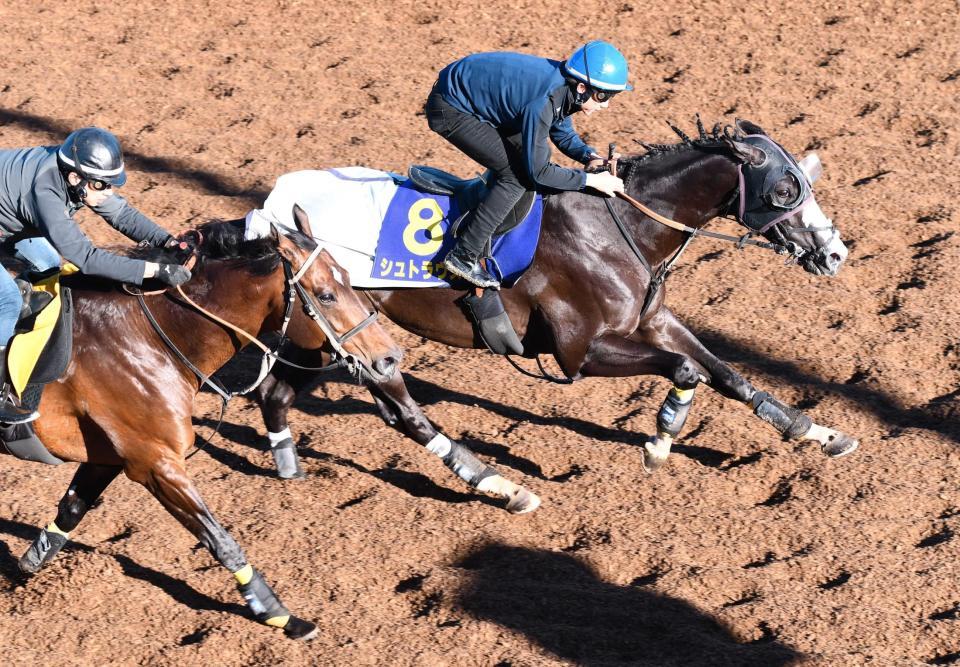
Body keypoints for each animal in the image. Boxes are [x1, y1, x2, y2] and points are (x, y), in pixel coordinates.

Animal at [8, 206, 398, 640]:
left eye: (348, 277)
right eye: (326, 295)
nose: (387, 358)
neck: (148, 339)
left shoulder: (110, 456)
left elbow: (71, 510)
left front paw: (27, 568)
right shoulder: (157, 463)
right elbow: (220, 540)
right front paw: (279, 614)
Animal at [253, 118, 856, 506]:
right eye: (785, 188)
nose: (835, 253)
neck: (620, 225)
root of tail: (276, 204)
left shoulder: (652, 320)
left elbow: (727, 372)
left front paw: (816, 431)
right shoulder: (578, 353)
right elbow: (687, 370)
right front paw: (659, 443)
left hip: (326, 334)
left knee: (276, 393)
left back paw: (287, 465)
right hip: (341, 326)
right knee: (399, 411)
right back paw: (496, 485)